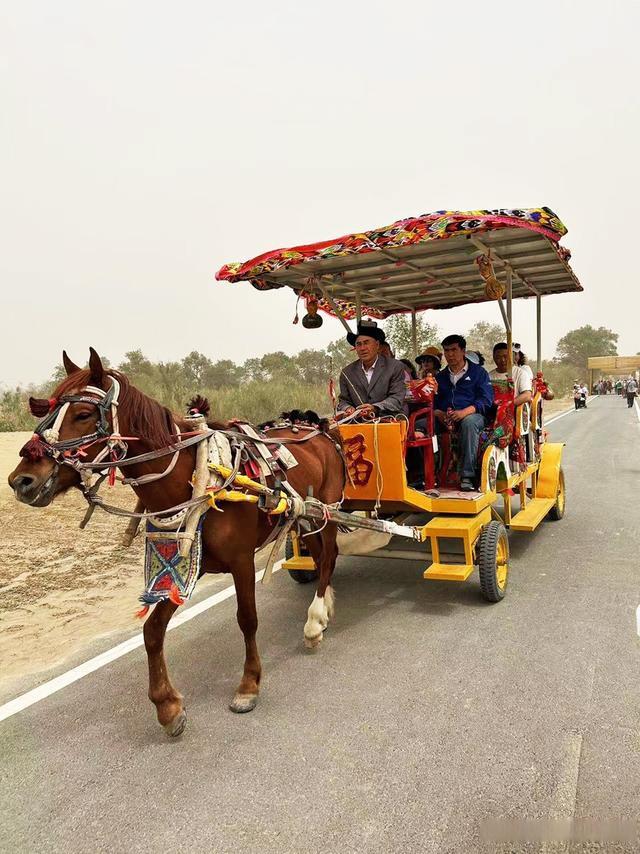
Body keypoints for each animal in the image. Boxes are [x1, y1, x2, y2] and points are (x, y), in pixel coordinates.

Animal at [6, 348, 344, 736]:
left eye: (83, 415)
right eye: (46, 413)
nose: (21, 481)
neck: (196, 477)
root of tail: (318, 428)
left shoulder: (242, 561)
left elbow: (247, 619)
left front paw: (248, 685)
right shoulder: (182, 565)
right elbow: (152, 631)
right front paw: (167, 706)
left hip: (328, 510)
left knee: (329, 556)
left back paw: (314, 621)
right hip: (307, 518)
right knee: (320, 555)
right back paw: (323, 609)